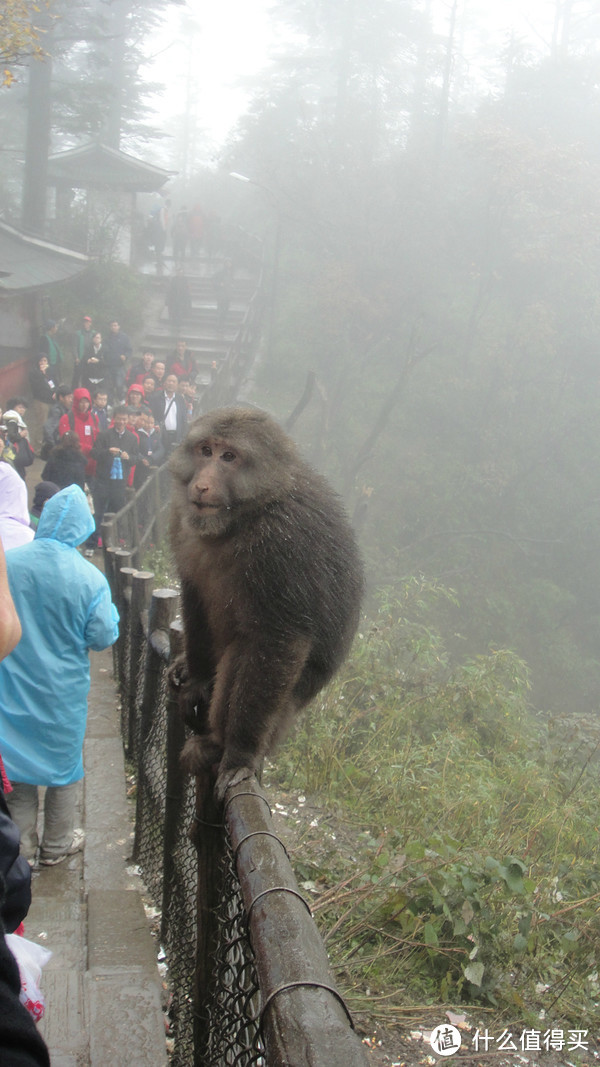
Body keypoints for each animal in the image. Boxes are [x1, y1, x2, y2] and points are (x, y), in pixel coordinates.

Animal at [169, 405, 365, 802]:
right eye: (206, 450)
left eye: (229, 457)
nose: (202, 484)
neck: (241, 518)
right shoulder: (184, 521)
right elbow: (194, 592)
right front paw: (197, 678)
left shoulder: (282, 547)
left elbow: (281, 639)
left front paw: (240, 753)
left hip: (284, 711)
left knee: (247, 657)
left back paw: (216, 744)